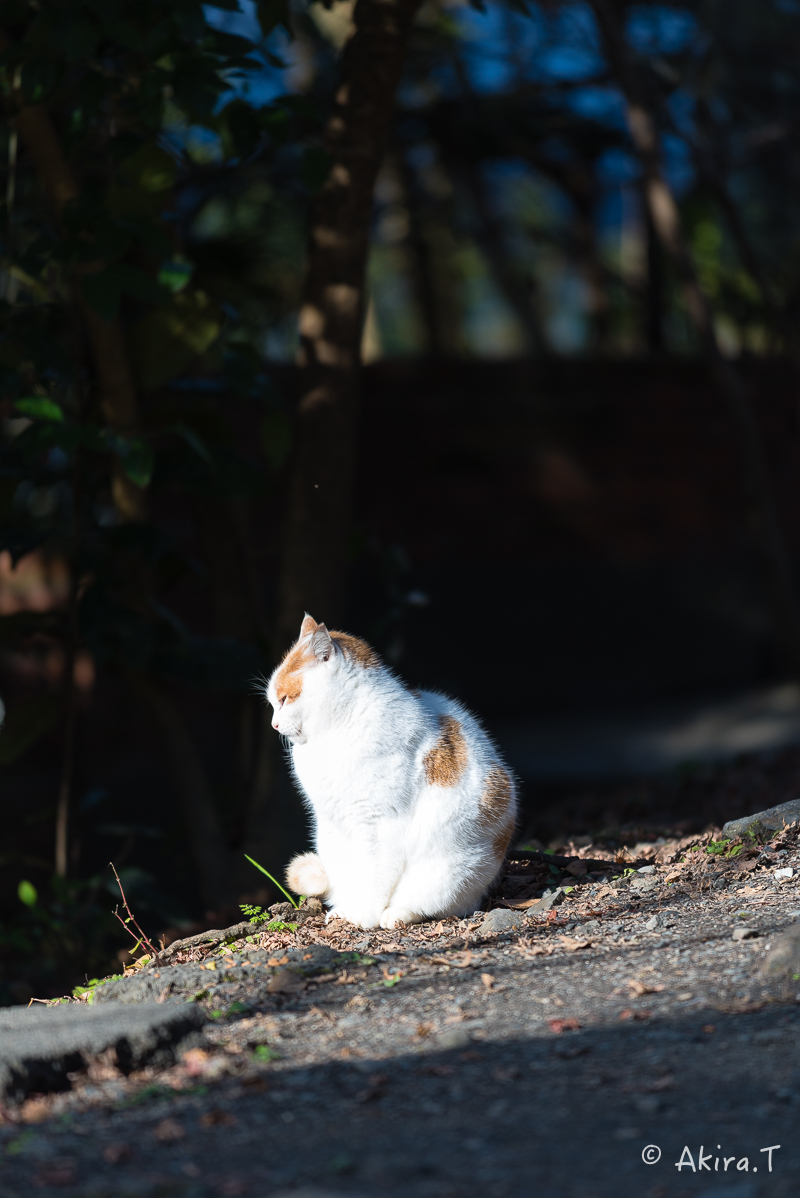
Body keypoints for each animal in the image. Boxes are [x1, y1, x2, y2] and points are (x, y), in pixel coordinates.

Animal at [265, 613, 514, 929]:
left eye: (285, 699)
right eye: (273, 703)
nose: (273, 724)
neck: (333, 735)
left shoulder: (377, 824)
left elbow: (374, 877)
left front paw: (363, 915)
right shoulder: (332, 824)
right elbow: (349, 875)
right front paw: (345, 909)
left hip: (450, 872)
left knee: (437, 904)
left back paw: (395, 915)